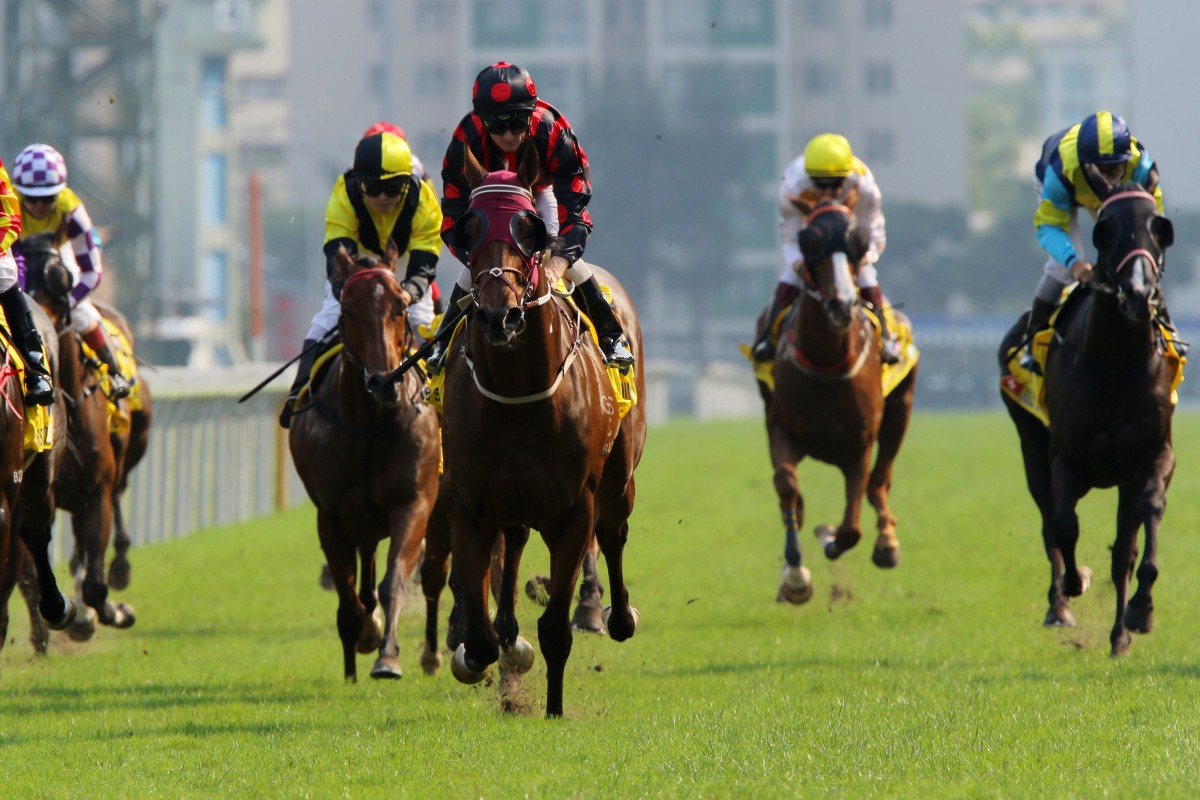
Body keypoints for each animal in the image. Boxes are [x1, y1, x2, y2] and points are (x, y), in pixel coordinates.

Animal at [289, 242, 441, 681]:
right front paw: (365, 635)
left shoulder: (413, 502)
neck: (371, 423)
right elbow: (349, 593)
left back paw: (435, 652)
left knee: (435, 576)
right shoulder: (332, 515)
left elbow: (394, 582)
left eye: (401, 306)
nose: (384, 382)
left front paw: (387, 655)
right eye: (349, 310)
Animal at [427, 142, 643, 719]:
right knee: (517, 539)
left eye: (528, 227)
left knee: (614, 533)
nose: (498, 316)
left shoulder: (574, 509)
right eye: (469, 226)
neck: (517, 393)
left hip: (619, 478)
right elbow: (480, 634)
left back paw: (618, 616)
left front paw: (553, 709)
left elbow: (556, 629)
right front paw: (484, 656)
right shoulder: (470, 504)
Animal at [758, 201, 916, 606]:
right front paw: (795, 577)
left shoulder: (858, 445)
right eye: (812, 243)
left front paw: (829, 537)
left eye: (856, 244)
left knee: (880, 481)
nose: (843, 303)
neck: (827, 362)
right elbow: (787, 487)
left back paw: (887, 543)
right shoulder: (782, 429)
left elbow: (851, 528)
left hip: (900, 410)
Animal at [998, 181, 1176, 657]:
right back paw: (1060, 604)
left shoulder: (1153, 455)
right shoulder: (1066, 458)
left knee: (1122, 551)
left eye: (1159, 228)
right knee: (1049, 521)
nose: (1139, 293)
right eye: (1106, 231)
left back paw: (1119, 636)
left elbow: (1145, 522)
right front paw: (1075, 583)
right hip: (1031, 446)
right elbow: (1063, 525)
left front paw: (1141, 612)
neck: (1115, 365)